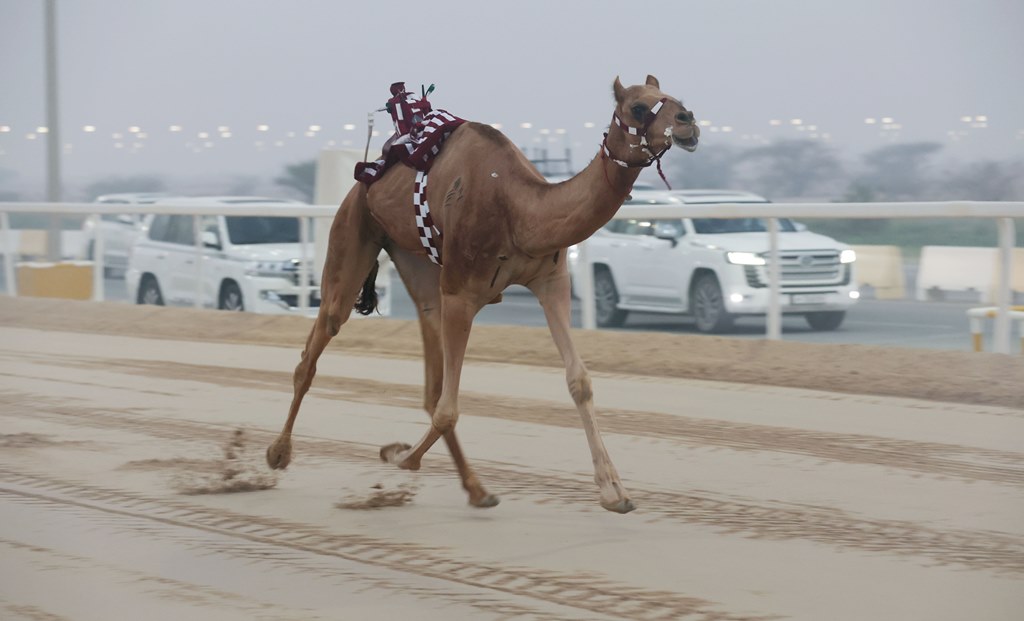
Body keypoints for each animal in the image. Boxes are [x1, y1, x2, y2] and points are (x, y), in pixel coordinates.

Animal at [264, 76, 700, 516]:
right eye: (637, 108)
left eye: (674, 98)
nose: (688, 121)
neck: (522, 210)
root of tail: (366, 178)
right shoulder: (463, 292)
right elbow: (448, 410)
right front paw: (399, 455)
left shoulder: (551, 281)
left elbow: (579, 380)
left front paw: (614, 491)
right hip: (353, 233)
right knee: (316, 349)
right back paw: (277, 454)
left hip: (418, 265)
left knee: (429, 373)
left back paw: (476, 489)